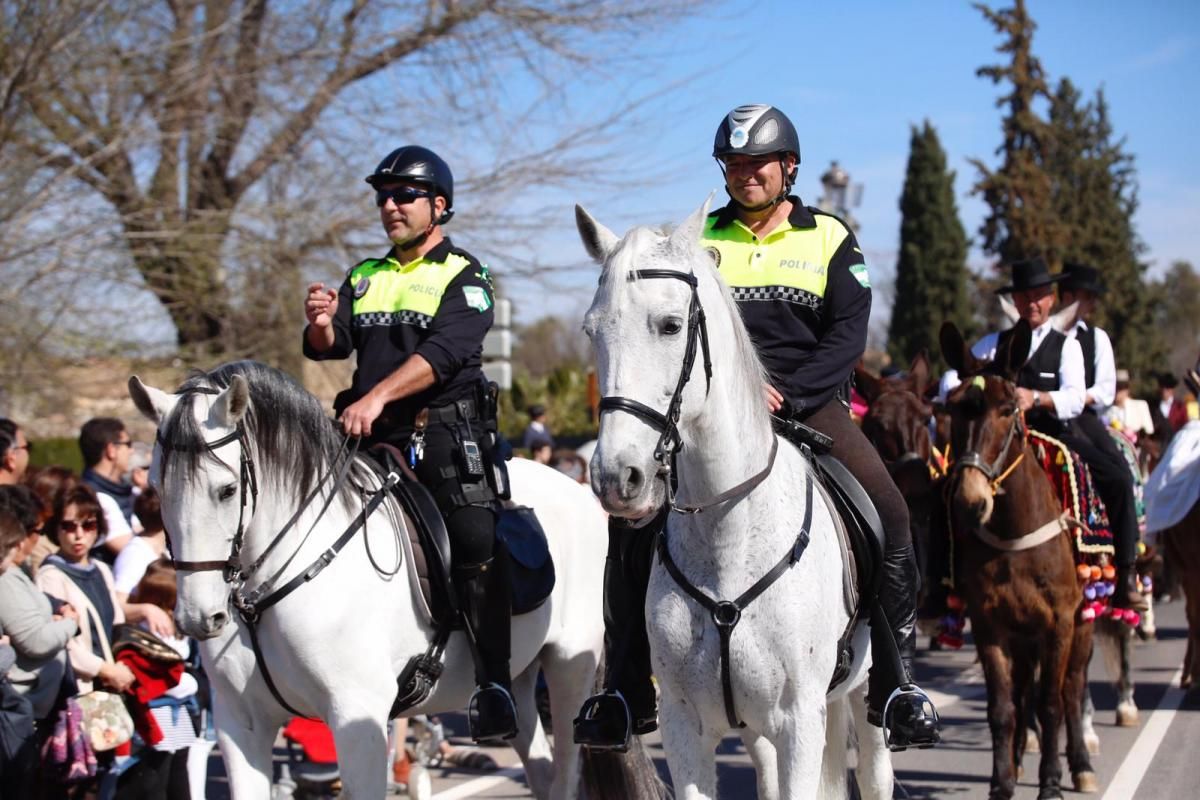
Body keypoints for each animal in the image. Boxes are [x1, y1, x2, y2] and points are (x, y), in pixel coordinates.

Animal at [129, 364, 657, 800]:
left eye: (226, 490)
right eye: (155, 486)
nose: (199, 617)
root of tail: (583, 494)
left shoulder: (355, 717)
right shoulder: (241, 725)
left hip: (568, 668)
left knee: (564, 773)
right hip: (521, 681)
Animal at [576, 201, 897, 800]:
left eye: (671, 325)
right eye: (592, 331)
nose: (617, 478)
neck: (727, 529)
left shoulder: (800, 721)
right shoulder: (685, 725)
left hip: (864, 703)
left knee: (873, 769)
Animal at [936, 321, 1099, 800]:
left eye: (1009, 409)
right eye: (953, 408)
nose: (970, 501)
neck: (1016, 540)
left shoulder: (1059, 623)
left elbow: (1051, 704)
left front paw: (1051, 783)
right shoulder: (990, 625)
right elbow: (1003, 708)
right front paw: (1002, 782)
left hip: (1083, 622)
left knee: (1071, 689)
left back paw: (1079, 765)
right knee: (1025, 691)